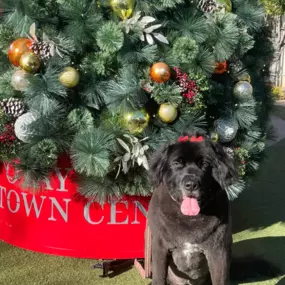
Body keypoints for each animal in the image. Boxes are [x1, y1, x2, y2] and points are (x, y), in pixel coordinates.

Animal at [148, 134, 236, 284]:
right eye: (177, 163)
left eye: (204, 164)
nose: (191, 184)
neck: (189, 218)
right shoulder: (159, 246)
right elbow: (158, 278)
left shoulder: (218, 250)